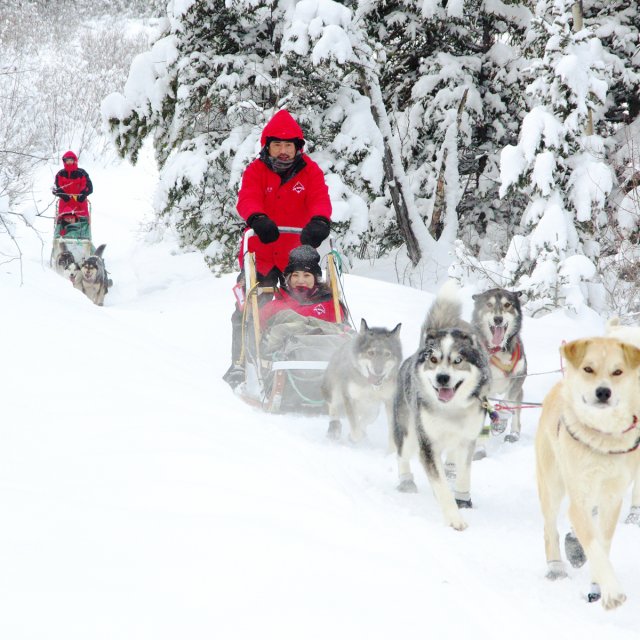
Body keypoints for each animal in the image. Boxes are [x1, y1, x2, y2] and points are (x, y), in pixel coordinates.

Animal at [324, 318, 400, 448]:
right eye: (370, 353)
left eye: (387, 354)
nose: (378, 371)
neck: (369, 385)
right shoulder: (349, 397)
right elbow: (355, 427)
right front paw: (354, 437)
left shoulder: (389, 400)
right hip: (334, 390)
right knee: (333, 406)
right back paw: (334, 428)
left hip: (373, 409)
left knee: (366, 419)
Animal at [390, 282, 490, 528]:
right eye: (433, 359)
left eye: (458, 360)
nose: (442, 378)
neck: (450, 411)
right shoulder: (427, 445)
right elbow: (441, 486)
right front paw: (454, 517)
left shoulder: (467, 441)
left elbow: (463, 475)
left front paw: (463, 501)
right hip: (408, 433)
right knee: (402, 455)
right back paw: (406, 481)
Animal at [470, 288, 524, 442]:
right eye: (489, 304)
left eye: (507, 305)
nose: (498, 319)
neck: (498, 349)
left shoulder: (519, 375)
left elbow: (508, 400)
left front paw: (503, 417)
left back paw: (514, 433)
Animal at [532, 336, 640, 608]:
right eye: (588, 369)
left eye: (617, 371)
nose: (603, 392)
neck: (602, 440)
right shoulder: (579, 496)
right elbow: (593, 542)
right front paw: (612, 591)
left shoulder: (612, 498)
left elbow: (602, 543)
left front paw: (596, 585)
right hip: (552, 485)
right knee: (550, 527)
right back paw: (555, 566)